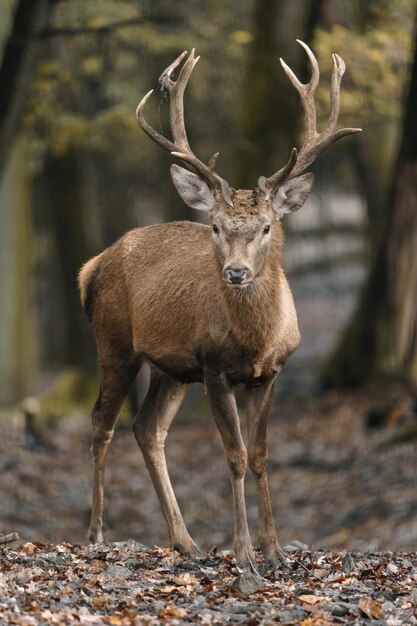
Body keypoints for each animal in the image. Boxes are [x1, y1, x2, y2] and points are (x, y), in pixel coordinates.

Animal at [79, 41, 360, 576]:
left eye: (267, 226)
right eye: (215, 226)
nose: (235, 272)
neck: (255, 342)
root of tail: (93, 264)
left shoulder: (271, 372)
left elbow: (262, 454)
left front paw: (275, 551)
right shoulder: (212, 365)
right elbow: (234, 455)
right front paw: (244, 553)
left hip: (169, 367)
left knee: (147, 429)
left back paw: (185, 542)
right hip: (114, 342)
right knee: (101, 424)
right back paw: (97, 533)